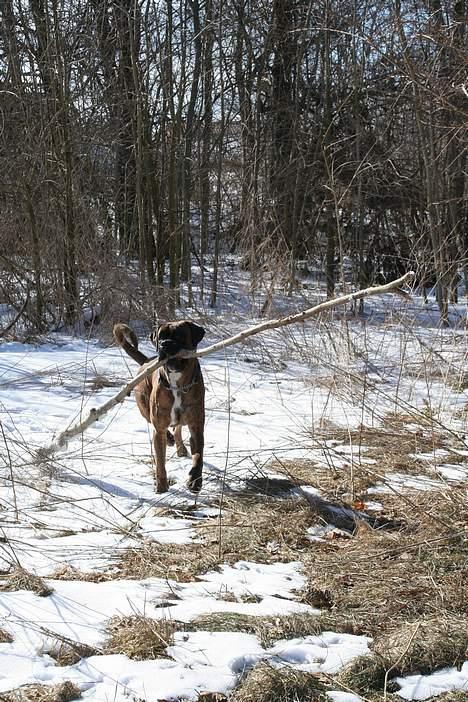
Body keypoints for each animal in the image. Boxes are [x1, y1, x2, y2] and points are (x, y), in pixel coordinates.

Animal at [113, 324, 205, 496]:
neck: (177, 384)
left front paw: (195, 481)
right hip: (145, 409)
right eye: (160, 337)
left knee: (177, 428)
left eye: (179, 335)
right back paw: (169, 439)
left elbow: (198, 457)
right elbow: (161, 461)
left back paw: (180, 447)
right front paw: (161, 485)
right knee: (158, 426)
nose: (164, 344)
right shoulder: (159, 428)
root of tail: (146, 361)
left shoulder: (196, 427)